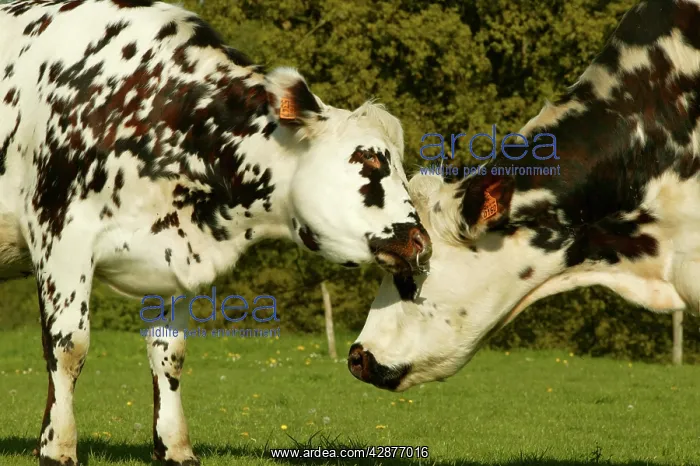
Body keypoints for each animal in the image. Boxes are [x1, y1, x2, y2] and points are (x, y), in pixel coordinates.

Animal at [0, 0, 432, 464]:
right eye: (370, 160)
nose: (422, 242)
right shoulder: (61, 234)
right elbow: (69, 347)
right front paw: (57, 446)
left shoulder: (171, 258)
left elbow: (169, 354)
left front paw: (174, 446)